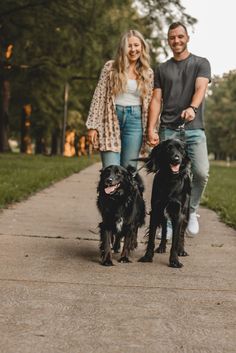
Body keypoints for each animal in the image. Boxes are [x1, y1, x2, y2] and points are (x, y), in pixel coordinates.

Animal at [137, 138, 191, 266]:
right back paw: (161, 247)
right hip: (163, 212)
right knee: (165, 229)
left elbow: (176, 239)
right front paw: (147, 256)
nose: (176, 159)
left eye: (181, 149)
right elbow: (151, 238)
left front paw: (174, 260)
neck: (170, 179)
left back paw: (182, 250)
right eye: (168, 148)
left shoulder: (178, 213)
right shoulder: (156, 209)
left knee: (182, 233)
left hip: (186, 212)